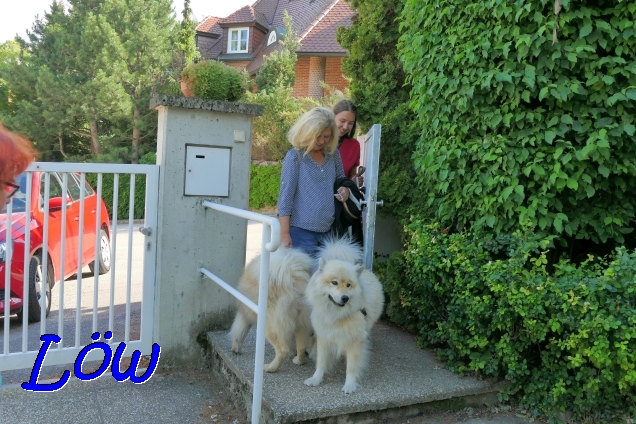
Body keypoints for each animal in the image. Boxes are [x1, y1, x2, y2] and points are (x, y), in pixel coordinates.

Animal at [304, 238, 382, 394]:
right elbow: (321, 363)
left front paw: (349, 385)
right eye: (334, 282)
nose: (345, 298)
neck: (337, 316)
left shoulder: (354, 342)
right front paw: (316, 379)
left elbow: (351, 368)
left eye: (348, 285)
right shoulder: (324, 338)